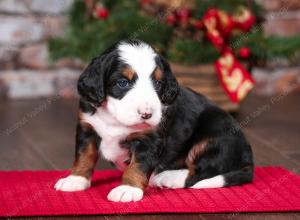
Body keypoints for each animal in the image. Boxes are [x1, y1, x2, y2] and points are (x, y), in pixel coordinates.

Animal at [54, 39, 253, 201]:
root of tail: (247, 155)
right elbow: (84, 155)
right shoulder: (87, 127)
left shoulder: (149, 139)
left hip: (216, 132)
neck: (115, 118)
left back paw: (168, 177)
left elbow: (138, 165)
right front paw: (76, 179)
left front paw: (128, 189)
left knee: (202, 172)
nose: (147, 114)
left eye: (158, 83)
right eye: (123, 82)